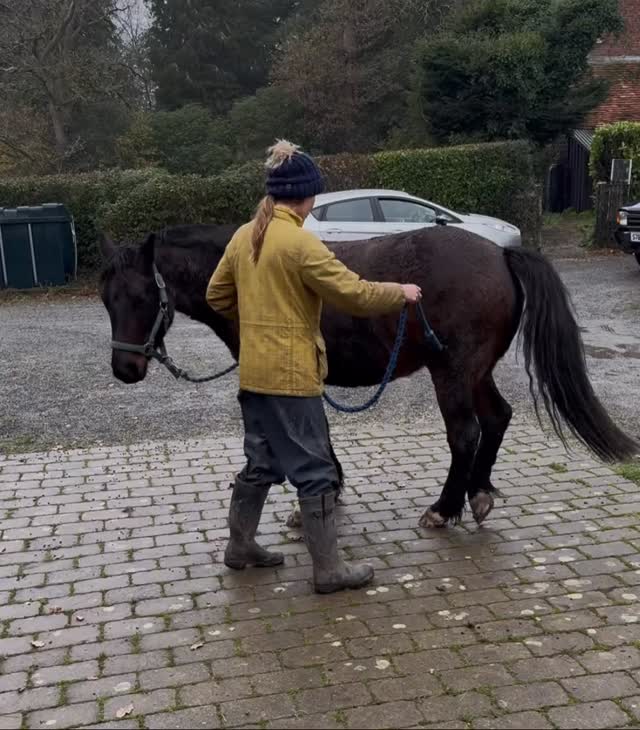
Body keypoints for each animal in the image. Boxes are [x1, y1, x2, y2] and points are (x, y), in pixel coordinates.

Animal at [99, 223, 638, 529]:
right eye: (107, 300)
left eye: (143, 297)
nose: (125, 369)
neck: (253, 276)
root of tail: (499, 255)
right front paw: (332, 489)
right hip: (475, 371)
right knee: (498, 418)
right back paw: (479, 493)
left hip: (453, 372)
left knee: (465, 433)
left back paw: (445, 508)